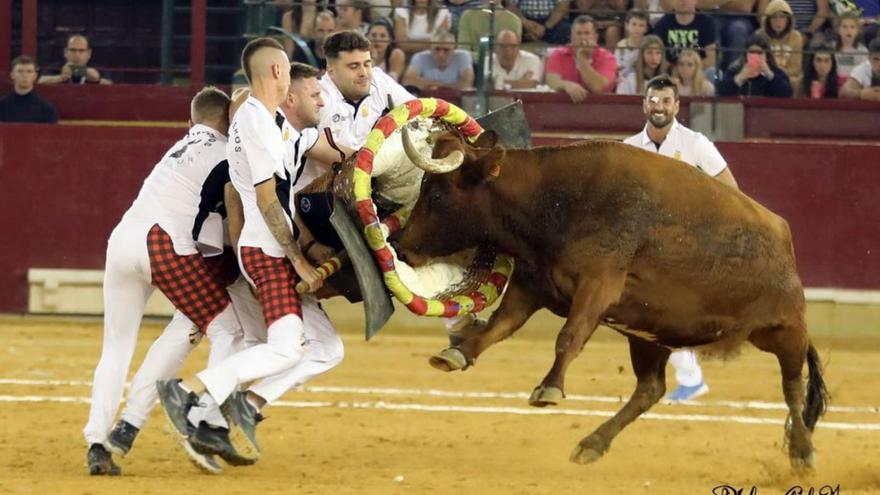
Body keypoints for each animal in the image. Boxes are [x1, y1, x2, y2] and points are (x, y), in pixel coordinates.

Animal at [396, 127, 828, 468]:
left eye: (438, 194)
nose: (402, 246)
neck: (553, 201)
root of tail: (782, 233)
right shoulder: (532, 284)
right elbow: (500, 325)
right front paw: (456, 353)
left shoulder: (597, 285)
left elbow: (568, 336)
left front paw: (549, 389)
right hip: (650, 335)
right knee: (649, 389)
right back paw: (592, 443)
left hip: (786, 330)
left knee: (792, 386)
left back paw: (803, 452)